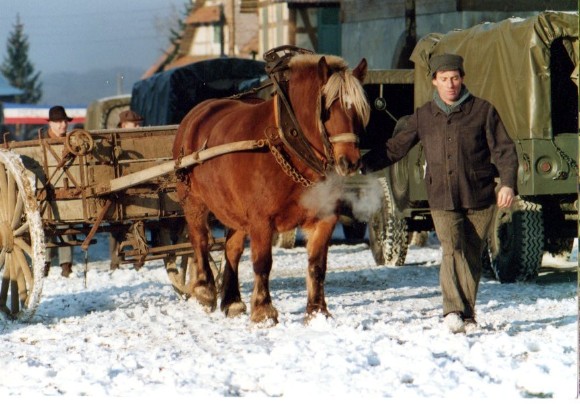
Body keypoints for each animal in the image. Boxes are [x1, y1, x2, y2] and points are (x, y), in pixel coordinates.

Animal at [173, 47, 372, 326]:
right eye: (328, 108)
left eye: (359, 111)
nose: (350, 161)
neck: (287, 143)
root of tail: (197, 113)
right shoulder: (261, 220)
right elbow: (262, 263)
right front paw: (264, 311)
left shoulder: (324, 218)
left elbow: (317, 265)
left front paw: (317, 311)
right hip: (193, 200)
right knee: (200, 239)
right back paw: (204, 289)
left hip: (233, 209)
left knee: (232, 249)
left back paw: (232, 301)